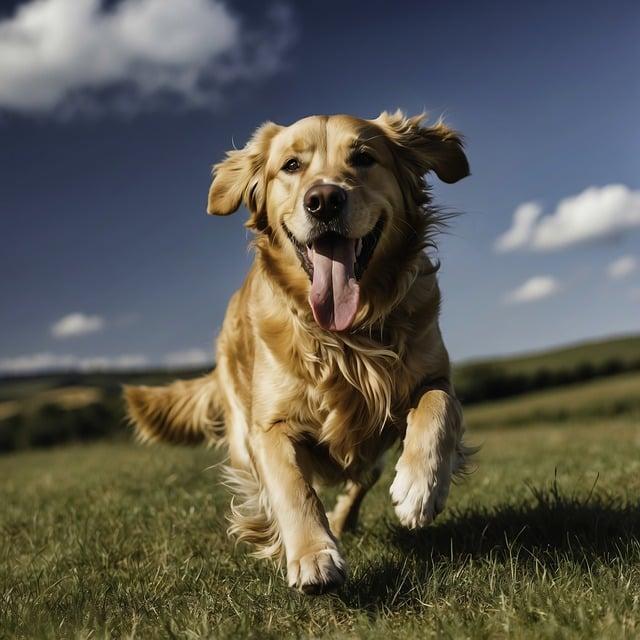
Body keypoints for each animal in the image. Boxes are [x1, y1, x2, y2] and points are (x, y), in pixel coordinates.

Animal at [125, 111, 472, 596]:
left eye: (363, 157)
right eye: (291, 166)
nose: (324, 200)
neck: (345, 340)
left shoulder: (433, 377)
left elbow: (437, 406)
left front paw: (421, 487)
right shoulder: (270, 427)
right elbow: (292, 487)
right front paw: (312, 554)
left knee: (364, 475)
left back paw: (351, 515)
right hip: (240, 423)